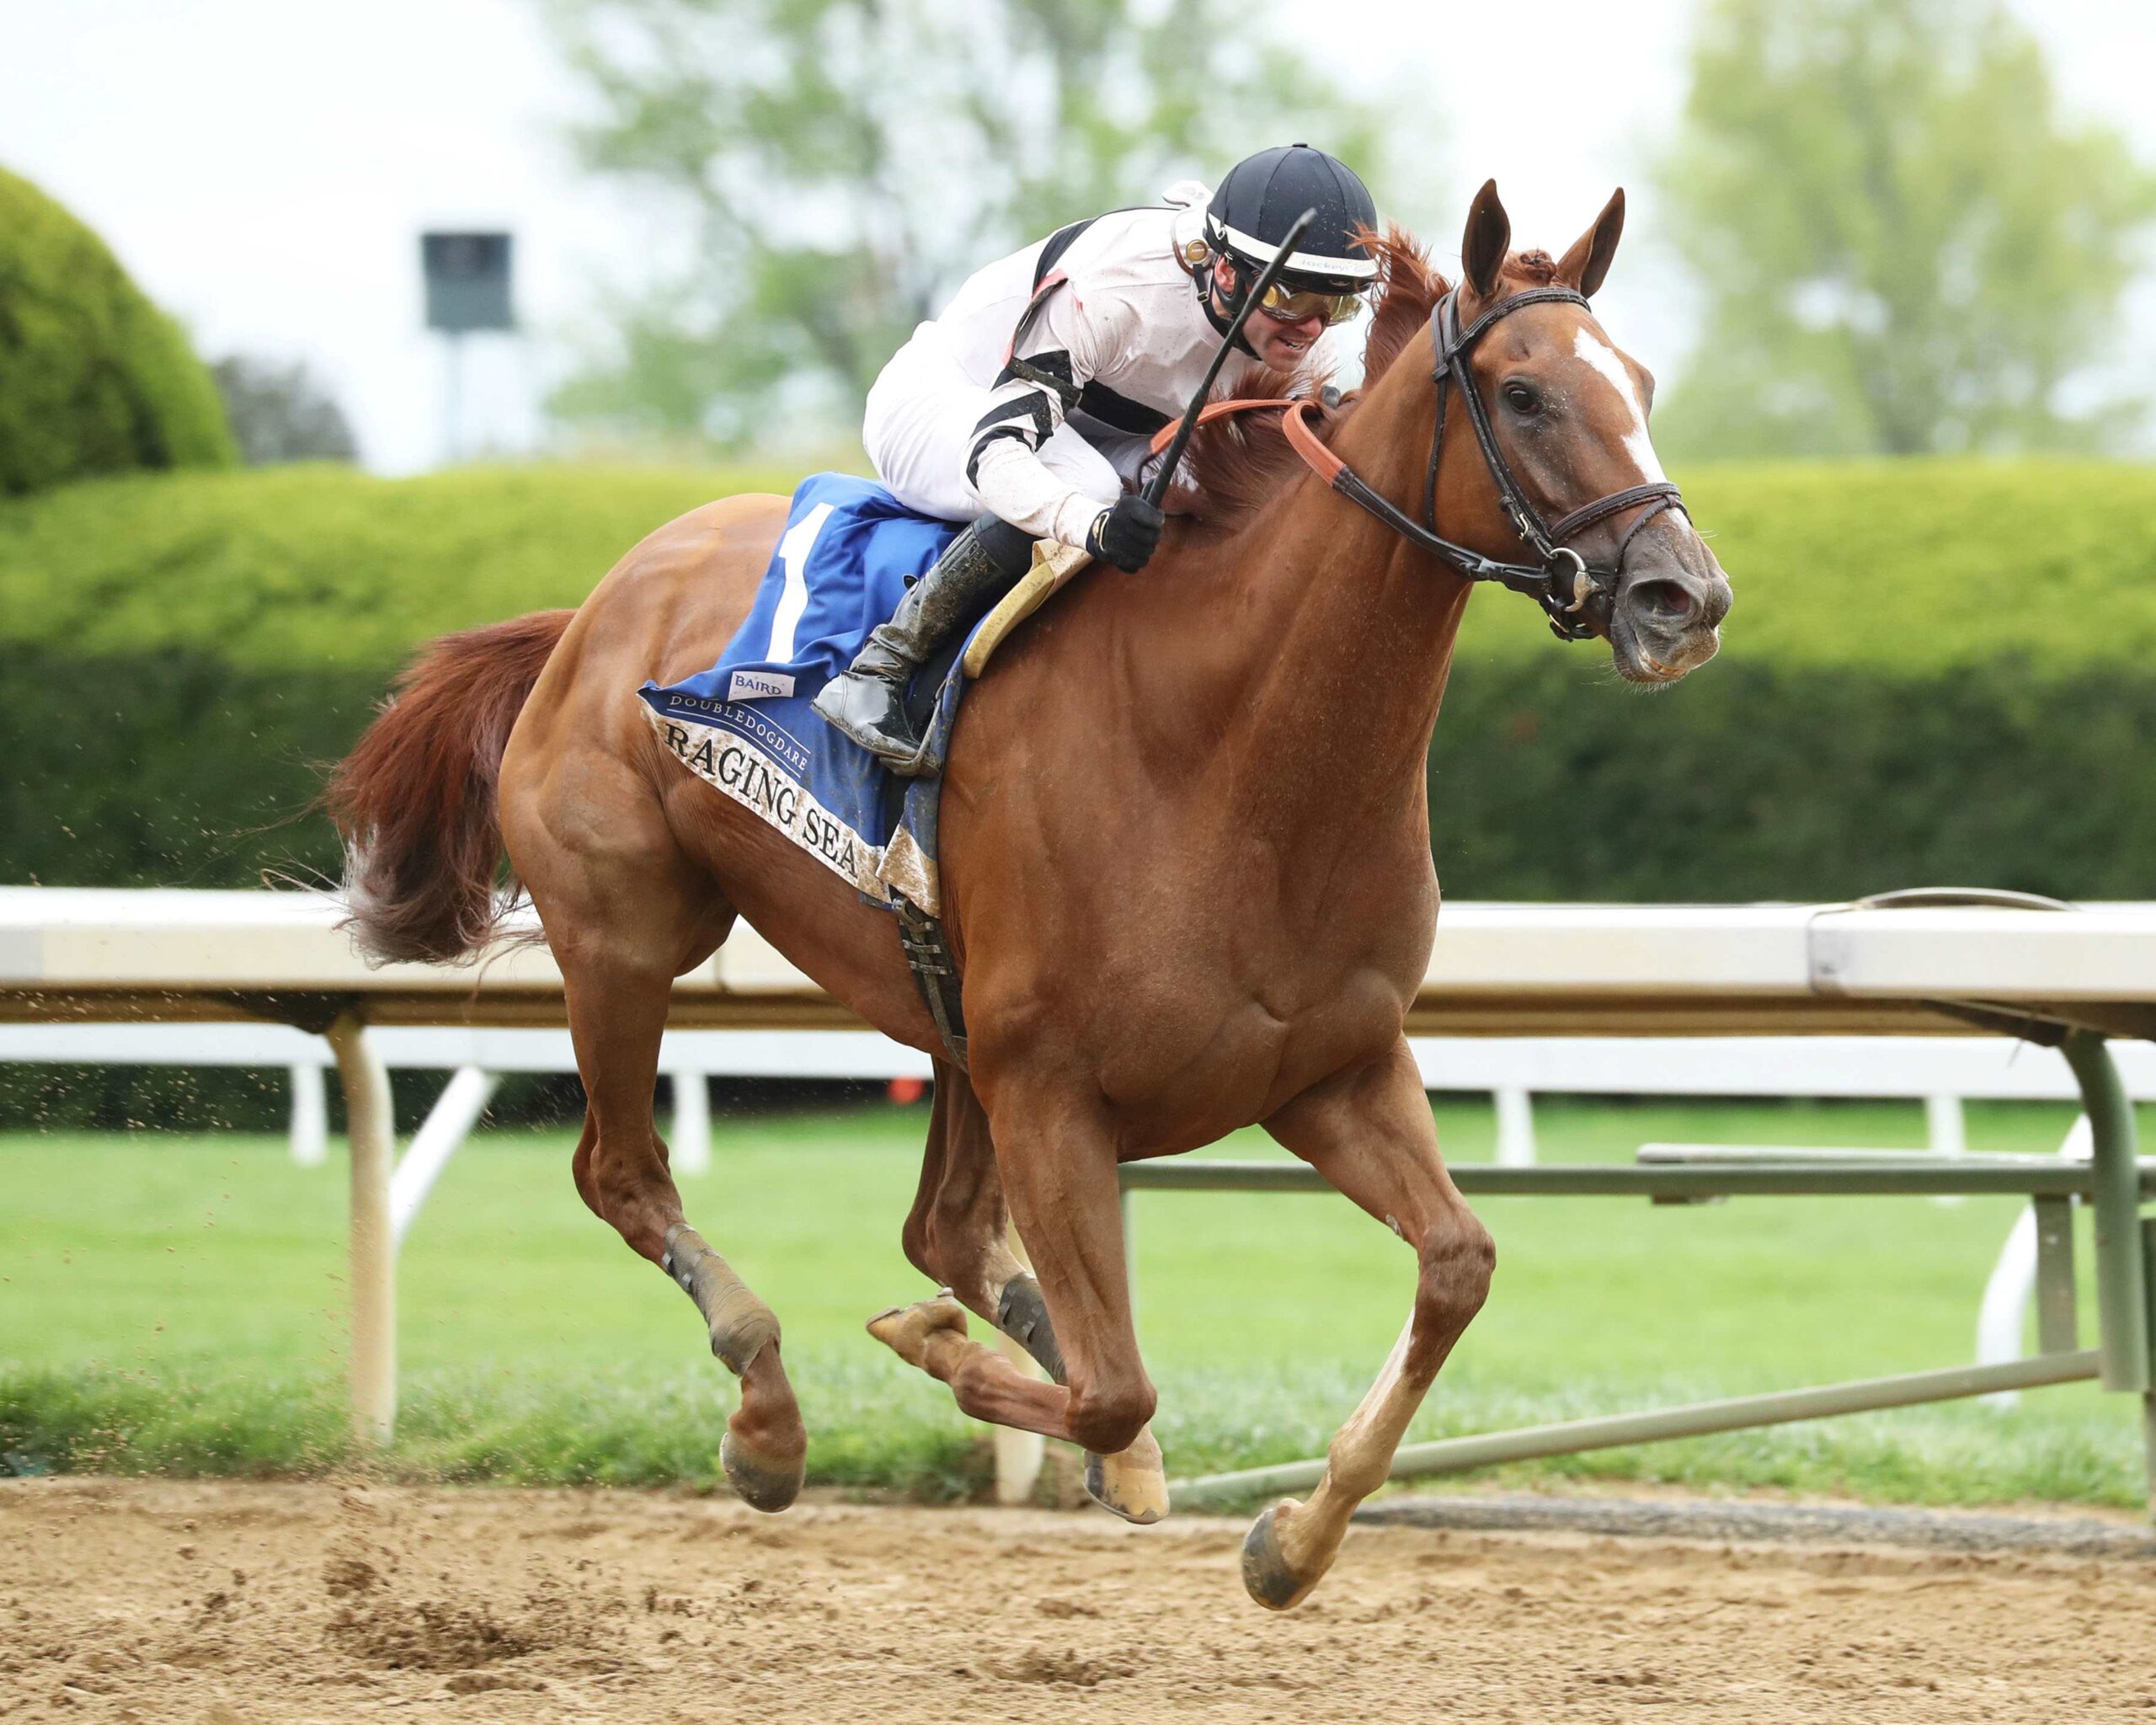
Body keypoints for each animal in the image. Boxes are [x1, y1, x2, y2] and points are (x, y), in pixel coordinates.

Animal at [326, 181, 1731, 1610]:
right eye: (1524, 394)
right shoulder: (1055, 1090)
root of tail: (587, 614)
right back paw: (769, 1415)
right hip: (631, 935)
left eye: (1641, 381)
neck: (1231, 753)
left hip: (946, 1017)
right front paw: (947, 1358)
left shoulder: (1329, 1066)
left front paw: (1291, 1537)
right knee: (623, 1173)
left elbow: (1456, 1268)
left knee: (941, 1227)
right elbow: (1114, 1386)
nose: (1685, 597)